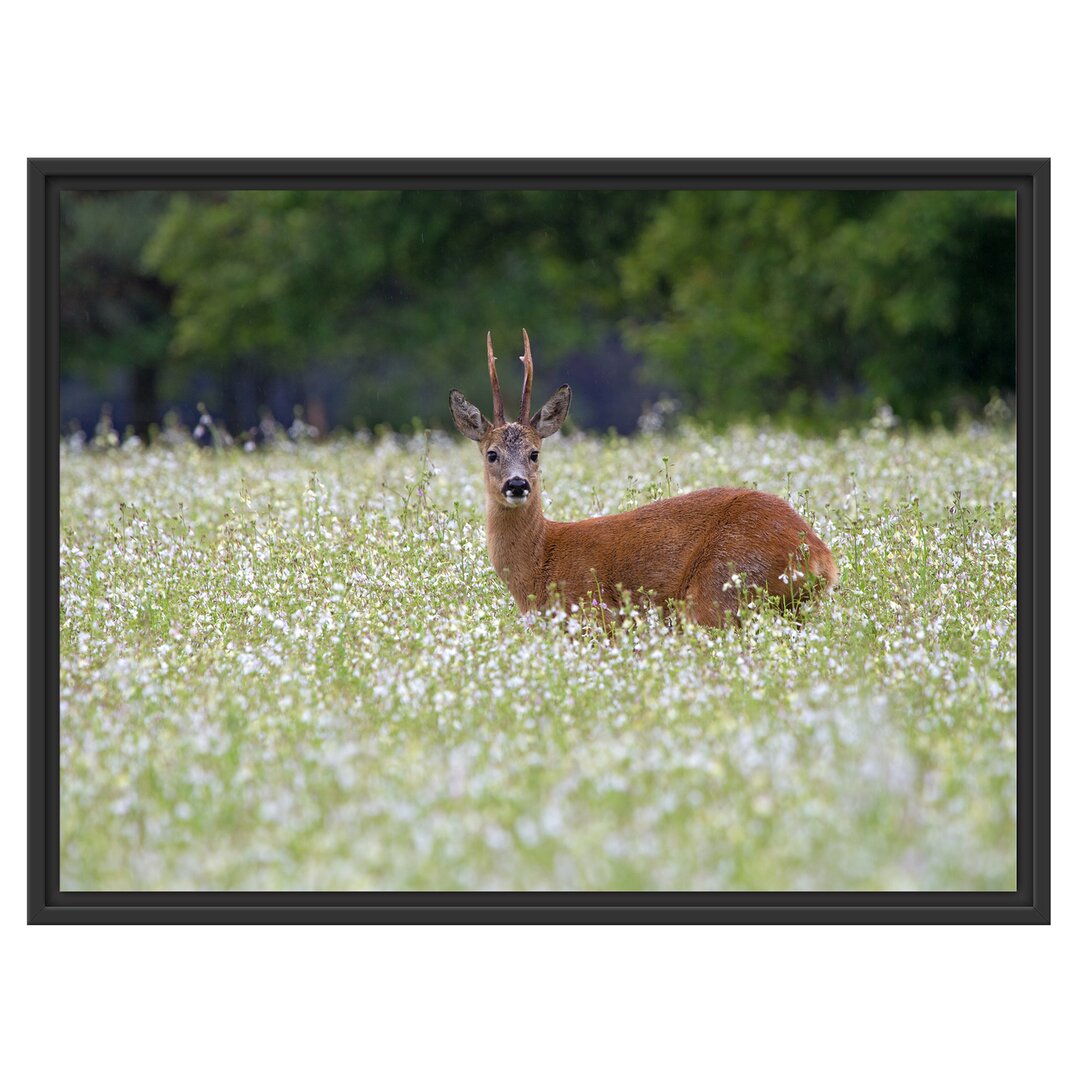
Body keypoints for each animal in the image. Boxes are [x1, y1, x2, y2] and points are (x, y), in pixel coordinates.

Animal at [451, 324, 838, 626]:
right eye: (491, 454)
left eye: (534, 453)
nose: (517, 484)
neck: (541, 562)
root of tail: (822, 558)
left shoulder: (594, 615)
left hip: (721, 588)